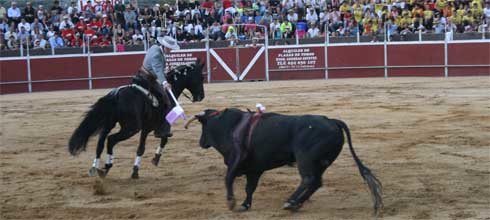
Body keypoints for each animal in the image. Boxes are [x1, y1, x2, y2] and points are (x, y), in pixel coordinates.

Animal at [67, 60, 205, 179]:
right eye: (201, 78)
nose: (201, 96)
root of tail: (116, 95)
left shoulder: (148, 128)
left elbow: (146, 146)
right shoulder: (151, 128)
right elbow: (151, 145)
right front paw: (144, 166)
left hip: (109, 124)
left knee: (100, 142)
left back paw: (95, 168)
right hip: (131, 128)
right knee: (111, 140)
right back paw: (107, 166)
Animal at [186, 108, 384, 215]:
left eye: (203, 127)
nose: (201, 142)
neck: (229, 126)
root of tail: (332, 121)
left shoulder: (236, 159)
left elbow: (228, 178)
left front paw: (231, 202)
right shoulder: (254, 169)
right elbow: (250, 187)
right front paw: (245, 205)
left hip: (305, 159)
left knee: (308, 179)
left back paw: (290, 202)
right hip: (321, 163)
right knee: (316, 182)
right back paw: (296, 204)